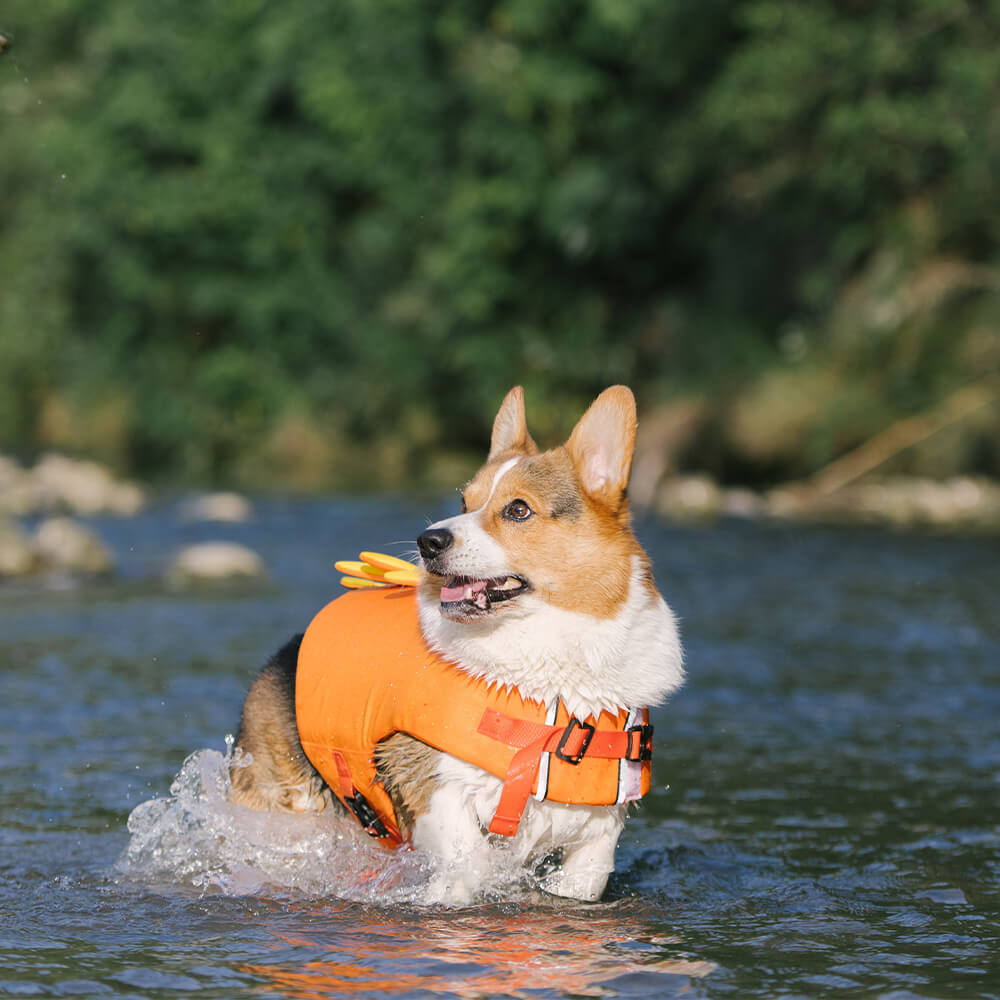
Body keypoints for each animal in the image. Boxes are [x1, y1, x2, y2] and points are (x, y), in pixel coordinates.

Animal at [233, 386, 684, 904]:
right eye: (465, 500)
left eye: (518, 509)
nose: (427, 541)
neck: (549, 672)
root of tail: (282, 656)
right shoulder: (435, 784)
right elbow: (470, 860)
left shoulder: (598, 830)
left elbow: (587, 874)